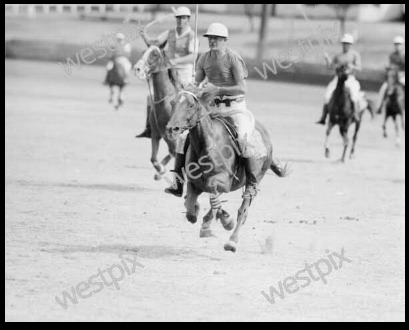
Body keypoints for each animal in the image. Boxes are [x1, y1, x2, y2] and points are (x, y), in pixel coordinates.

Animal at [135, 44, 178, 180]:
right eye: (144, 51)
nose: (137, 69)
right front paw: (160, 170)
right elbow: (153, 159)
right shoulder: (156, 135)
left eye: (155, 54)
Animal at [166, 85, 286, 253]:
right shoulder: (194, 184)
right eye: (172, 102)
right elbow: (190, 208)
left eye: (190, 105)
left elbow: (213, 196)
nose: (172, 129)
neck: (208, 145)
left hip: (255, 177)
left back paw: (232, 241)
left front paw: (225, 221)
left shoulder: (223, 182)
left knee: (243, 209)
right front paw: (198, 212)